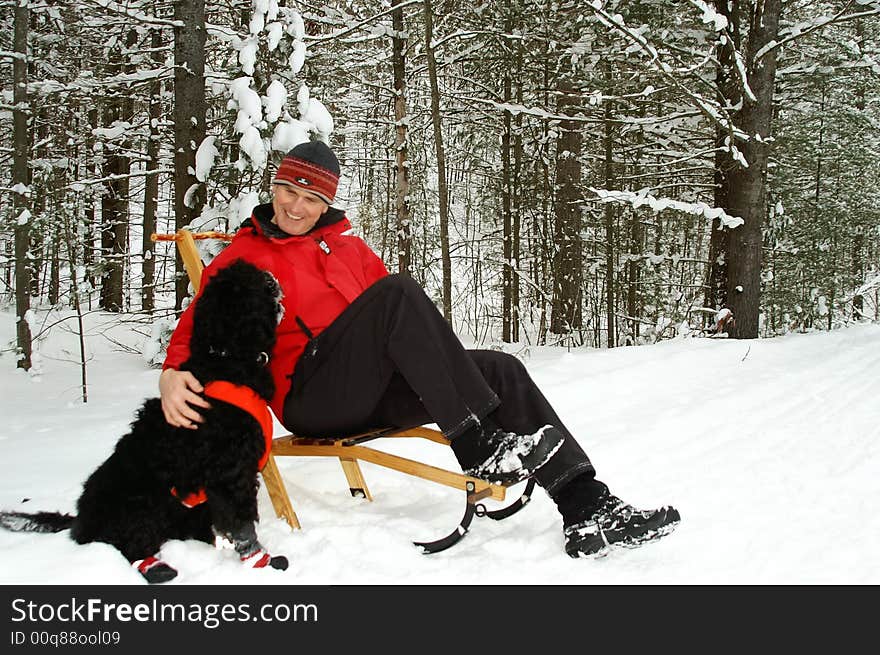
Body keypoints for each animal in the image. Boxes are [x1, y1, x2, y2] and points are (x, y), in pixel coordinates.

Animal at [0, 258, 288, 580]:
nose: (271, 278)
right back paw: (157, 568)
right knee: (129, 546)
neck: (225, 358)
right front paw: (262, 562)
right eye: (247, 286)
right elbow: (242, 523)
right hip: (140, 504)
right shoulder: (230, 472)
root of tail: (81, 521)